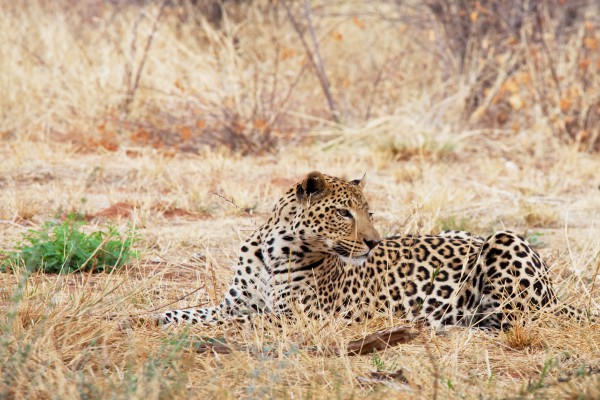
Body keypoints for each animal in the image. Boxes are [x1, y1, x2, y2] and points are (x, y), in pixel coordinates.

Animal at [155, 170, 596, 330]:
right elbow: (192, 312)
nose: (373, 242)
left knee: (515, 318)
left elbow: (241, 321)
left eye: (369, 213)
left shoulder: (297, 317)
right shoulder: (233, 303)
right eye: (344, 213)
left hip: (504, 241)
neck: (274, 251)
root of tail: (556, 295)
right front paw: (152, 319)